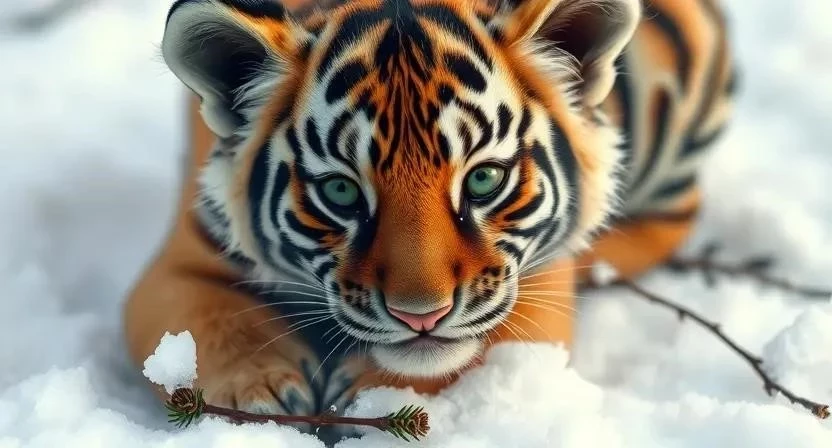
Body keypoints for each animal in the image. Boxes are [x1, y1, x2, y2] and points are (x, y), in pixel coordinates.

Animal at [125, 0, 735, 421]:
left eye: (484, 179)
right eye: (341, 192)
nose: (422, 316)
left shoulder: (538, 287)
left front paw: (371, 398)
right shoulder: (179, 263)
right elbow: (207, 323)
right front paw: (262, 393)